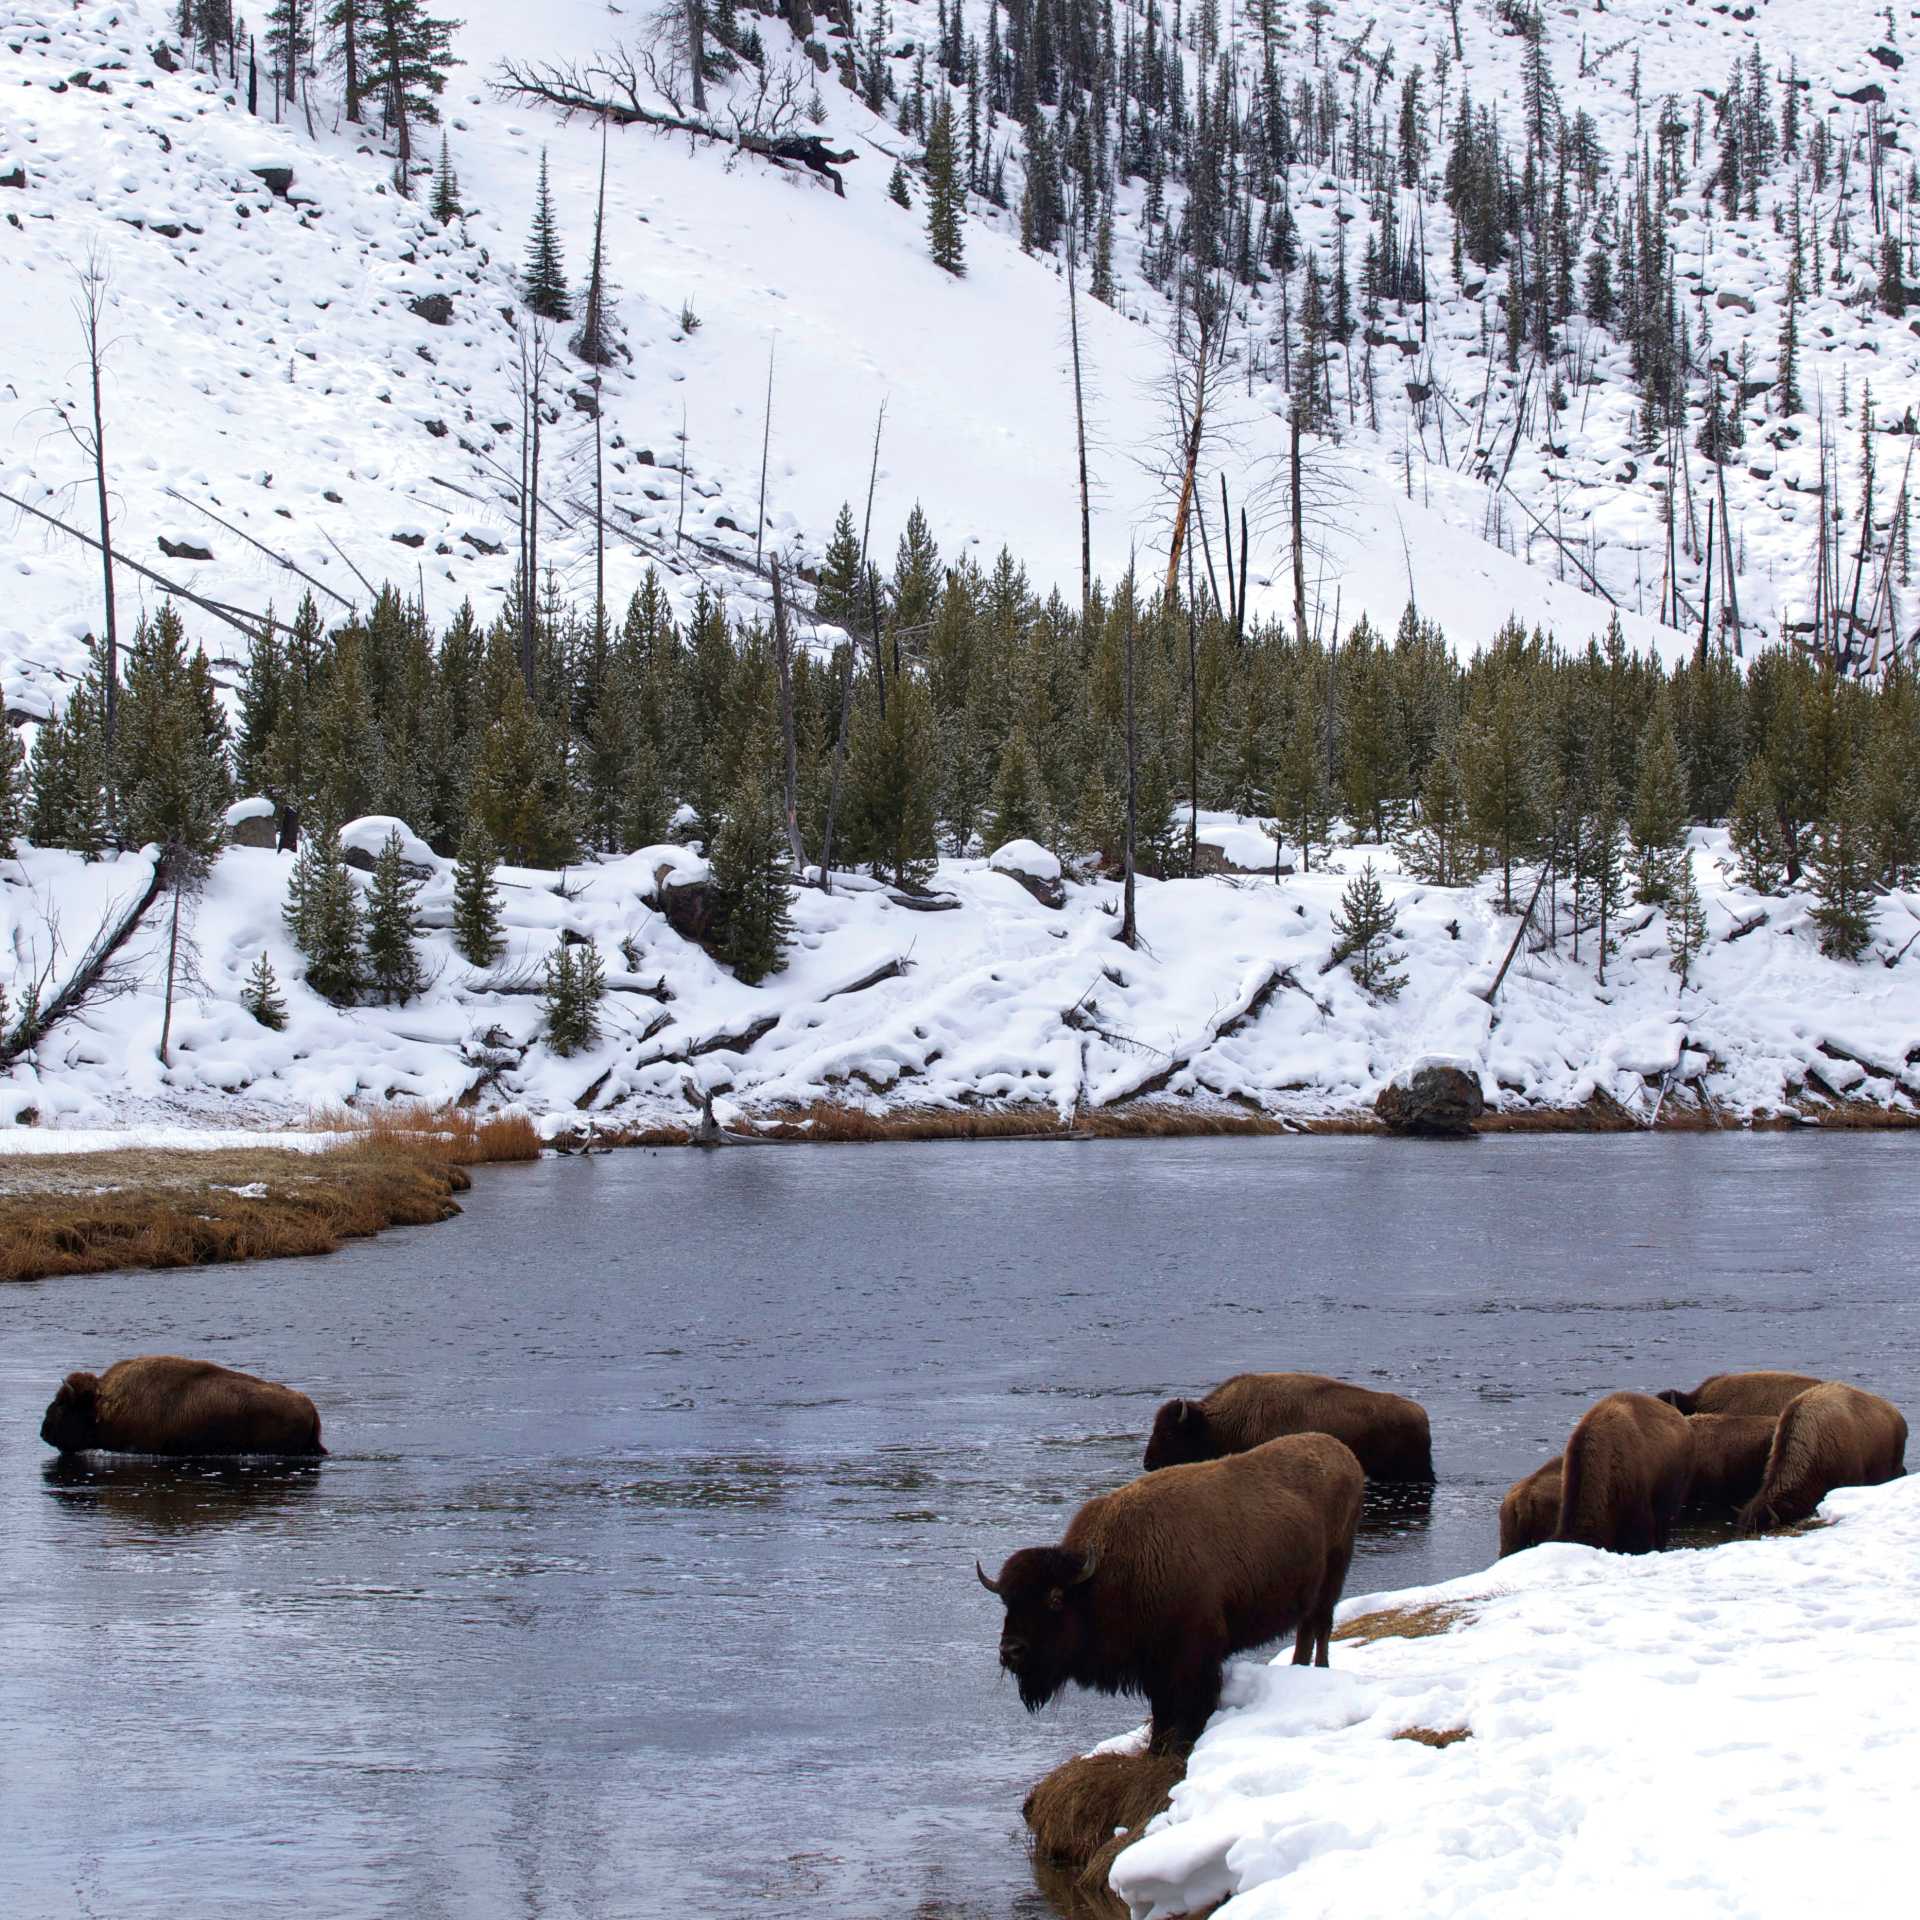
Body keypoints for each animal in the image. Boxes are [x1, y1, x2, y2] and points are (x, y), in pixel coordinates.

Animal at [978, 1432, 1364, 1753]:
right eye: (1007, 1601)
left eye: (1055, 1598)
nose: (1010, 1651)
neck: (1105, 1574)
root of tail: (1344, 1454)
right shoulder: (1153, 1664)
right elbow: (1162, 1710)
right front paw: (1156, 1749)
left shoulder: (1193, 1656)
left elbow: (1191, 1705)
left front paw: (1180, 1748)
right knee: (1306, 1630)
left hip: (1333, 1578)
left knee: (1321, 1627)